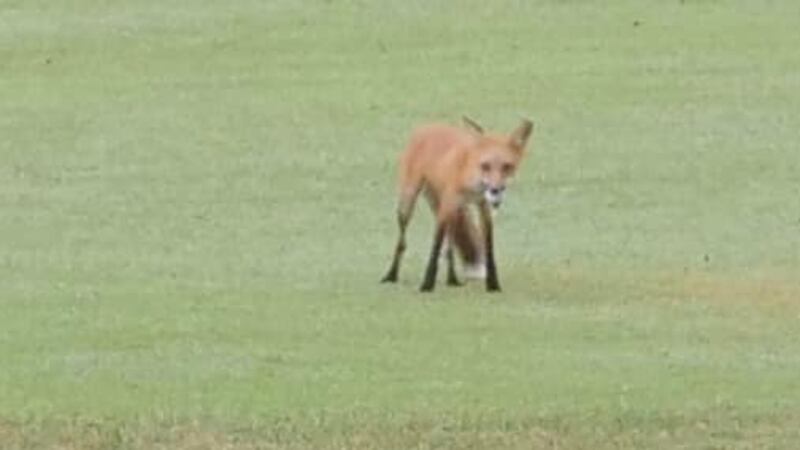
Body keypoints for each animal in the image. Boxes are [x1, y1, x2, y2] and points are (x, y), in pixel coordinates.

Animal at [381, 117, 534, 292]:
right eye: (485, 166)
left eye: (507, 166)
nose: (495, 190)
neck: (472, 184)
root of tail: (428, 125)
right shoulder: (446, 205)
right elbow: (435, 247)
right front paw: (427, 285)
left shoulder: (483, 208)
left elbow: (489, 249)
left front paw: (493, 285)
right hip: (408, 202)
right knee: (402, 242)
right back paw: (391, 275)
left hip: (455, 212)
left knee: (450, 247)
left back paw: (452, 280)